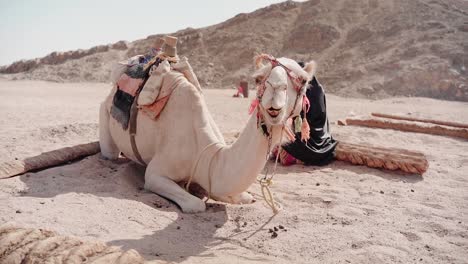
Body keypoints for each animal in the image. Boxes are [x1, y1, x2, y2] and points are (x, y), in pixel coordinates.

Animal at [99, 54, 318, 213]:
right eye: (258, 79)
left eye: (303, 80)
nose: (275, 94)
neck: (206, 153)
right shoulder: (156, 173)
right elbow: (196, 204)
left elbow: (243, 196)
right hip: (105, 115)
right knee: (110, 152)